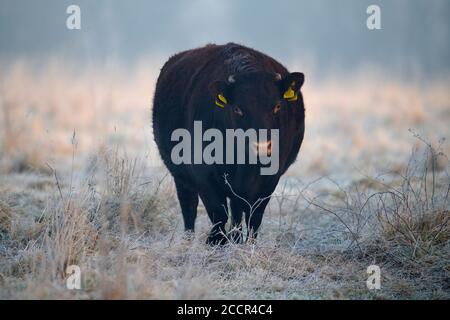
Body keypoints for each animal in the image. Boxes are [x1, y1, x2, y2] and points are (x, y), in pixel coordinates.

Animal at [153, 43, 304, 245]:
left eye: (277, 106)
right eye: (237, 108)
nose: (261, 146)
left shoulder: (271, 177)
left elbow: (254, 216)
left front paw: (248, 245)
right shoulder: (203, 174)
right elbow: (218, 213)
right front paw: (216, 242)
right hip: (180, 175)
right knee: (189, 207)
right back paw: (189, 240)